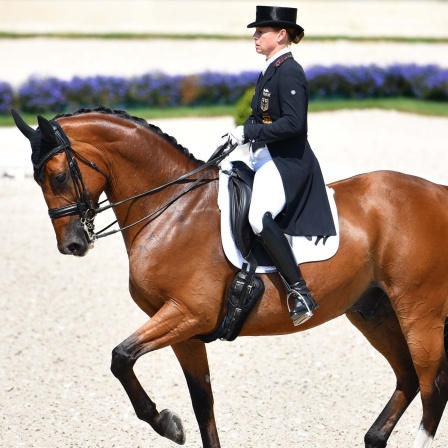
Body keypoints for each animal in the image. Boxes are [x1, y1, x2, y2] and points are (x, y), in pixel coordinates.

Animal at [10, 106, 448, 448]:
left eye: (58, 176)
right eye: (37, 179)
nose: (72, 244)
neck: (172, 211)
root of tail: (437, 192)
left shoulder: (189, 313)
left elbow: (121, 357)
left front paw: (167, 424)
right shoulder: (184, 330)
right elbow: (201, 401)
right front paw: (173, 423)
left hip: (418, 312)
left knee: (432, 386)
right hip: (373, 311)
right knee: (408, 377)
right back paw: (374, 437)